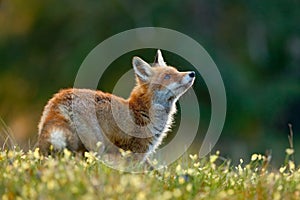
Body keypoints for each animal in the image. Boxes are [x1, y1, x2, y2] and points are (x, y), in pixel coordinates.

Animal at [37, 49, 195, 162]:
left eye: (176, 71)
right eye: (167, 76)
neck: (142, 111)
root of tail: (60, 97)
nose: (192, 73)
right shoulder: (135, 154)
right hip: (95, 146)